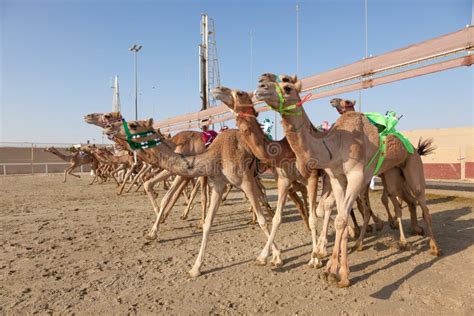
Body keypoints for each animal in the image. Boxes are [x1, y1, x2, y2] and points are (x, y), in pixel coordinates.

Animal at [104, 119, 282, 276]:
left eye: (133, 124)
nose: (108, 127)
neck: (217, 153)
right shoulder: (218, 184)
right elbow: (208, 223)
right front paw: (195, 268)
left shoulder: (244, 181)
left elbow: (262, 221)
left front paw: (274, 256)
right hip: (255, 176)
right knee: (263, 193)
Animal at [256, 76, 440, 286]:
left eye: (287, 87)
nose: (260, 87)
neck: (336, 144)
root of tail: (415, 148)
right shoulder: (337, 179)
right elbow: (340, 220)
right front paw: (331, 269)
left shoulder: (356, 177)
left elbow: (341, 219)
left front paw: (340, 273)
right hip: (392, 174)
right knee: (400, 201)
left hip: (413, 167)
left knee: (422, 204)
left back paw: (433, 247)